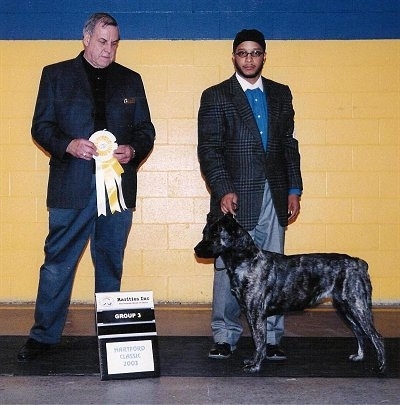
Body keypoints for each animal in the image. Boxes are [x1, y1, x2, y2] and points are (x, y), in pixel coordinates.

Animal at [194, 213, 384, 374]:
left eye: (215, 234)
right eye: (205, 232)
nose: (196, 249)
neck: (247, 259)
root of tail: (359, 263)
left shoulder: (256, 314)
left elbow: (259, 342)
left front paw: (255, 366)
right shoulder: (253, 314)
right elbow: (258, 341)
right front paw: (253, 362)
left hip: (358, 307)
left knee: (377, 337)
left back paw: (380, 368)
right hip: (346, 309)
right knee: (360, 333)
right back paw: (359, 356)